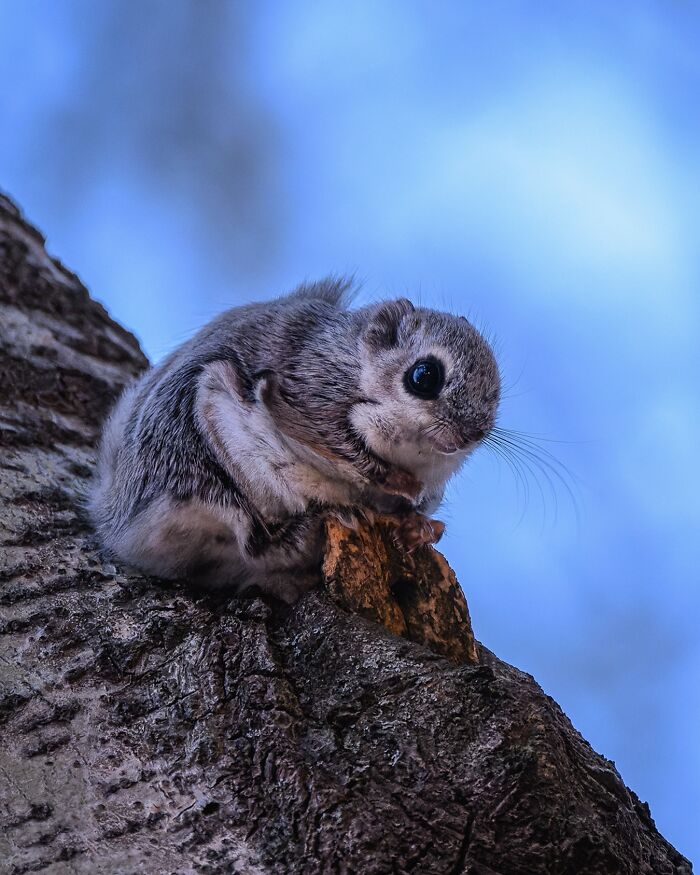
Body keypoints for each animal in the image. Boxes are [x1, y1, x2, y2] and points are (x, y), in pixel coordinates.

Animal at [90, 280, 500, 604]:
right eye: (424, 375)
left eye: (495, 393)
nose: (469, 435)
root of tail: (120, 525)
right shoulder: (306, 390)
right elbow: (332, 442)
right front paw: (398, 481)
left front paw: (419, 525)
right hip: (201, 451)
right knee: (248, 537)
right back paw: (306, 530)